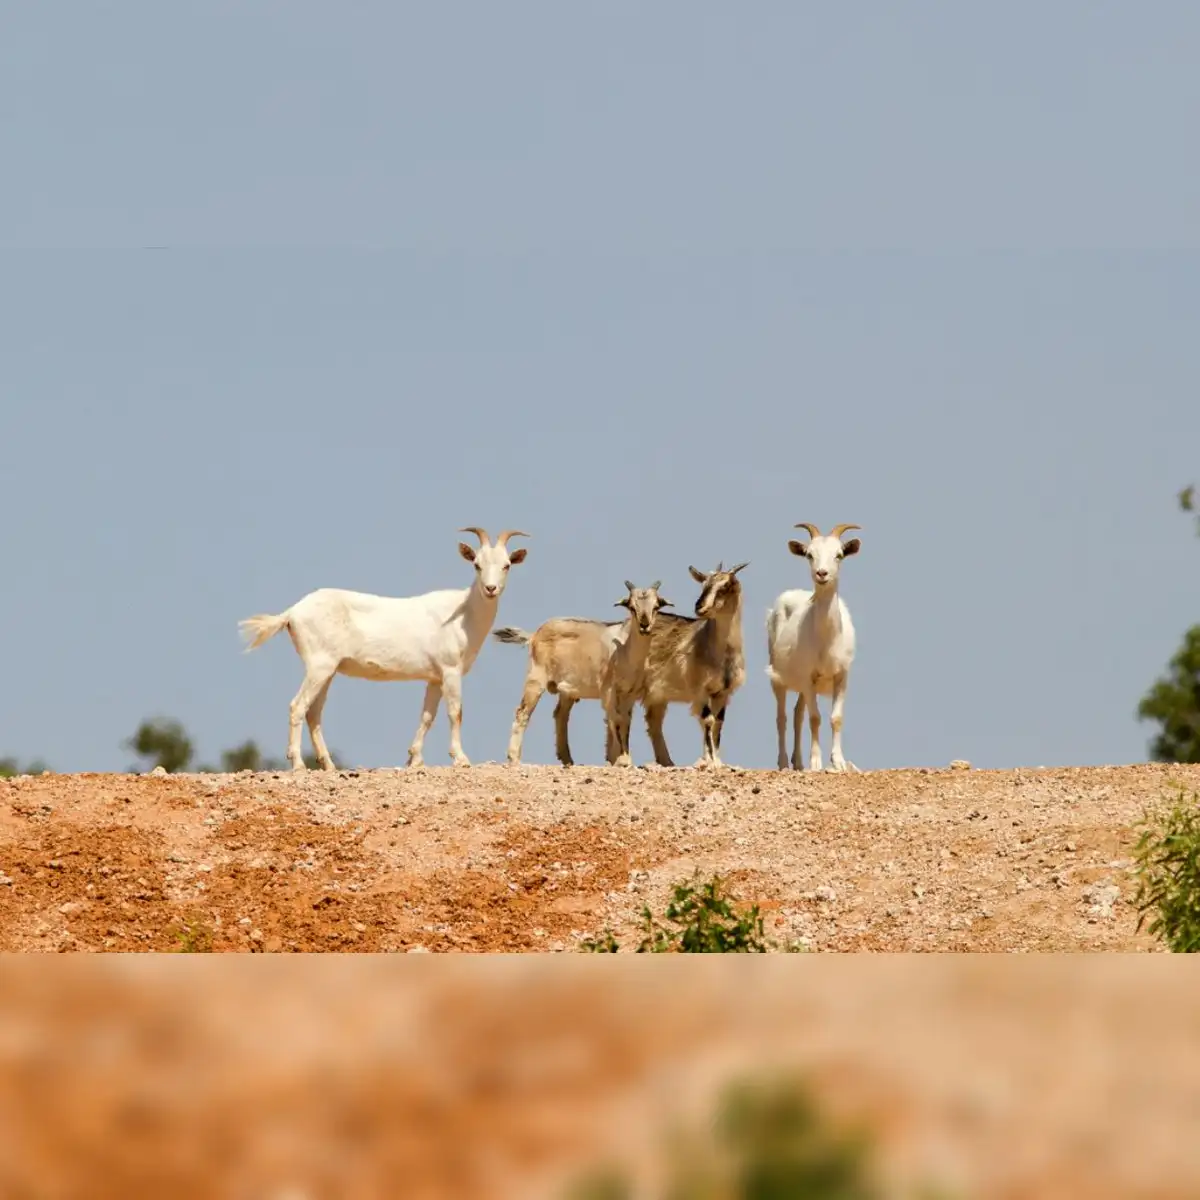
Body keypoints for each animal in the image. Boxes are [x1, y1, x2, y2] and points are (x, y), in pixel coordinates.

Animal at [238, 527, 529, 770]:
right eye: (477, 565)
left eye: (506, 565)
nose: (490, 589)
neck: (463, 613)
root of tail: (292, 612)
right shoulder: (450, 671)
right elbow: (455, 712)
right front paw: (461, 758)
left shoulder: (434, 678)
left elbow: (427, 717)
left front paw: (415, 759)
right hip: (319, 666)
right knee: (297, 706)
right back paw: (298, 764)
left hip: (327, 671)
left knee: (314, 712)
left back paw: (329, 765)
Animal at [600, 581, 672, 767]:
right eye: (632, 607)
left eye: (656, 606)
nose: (644, 625)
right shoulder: (612, 691)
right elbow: (617, 721)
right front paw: (622, 760)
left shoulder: (630, 693)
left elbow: (626, 722)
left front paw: (623, 758)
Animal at [637, 562, 748, 768]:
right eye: (703, 585)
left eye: (725, 586)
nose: (699, 606)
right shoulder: (700, 689)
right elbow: (707, 720)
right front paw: (710, 762)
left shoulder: (723, 692)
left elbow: (718, 722)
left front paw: (717, 761)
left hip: (657, 695)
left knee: (654, 722)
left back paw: (667, 762)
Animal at [766, 522, 861, 772]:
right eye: (810, 554)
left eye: (839, 554)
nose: (822, 574)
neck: (826, 641)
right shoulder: (809, 678)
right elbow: (815, 718)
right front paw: (816, 763)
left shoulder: (841, 677)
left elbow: (835, 718)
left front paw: (838, 762)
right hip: (779, 679)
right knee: (782, 718)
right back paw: (783, 763)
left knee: (797, 713)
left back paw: (798, 762)